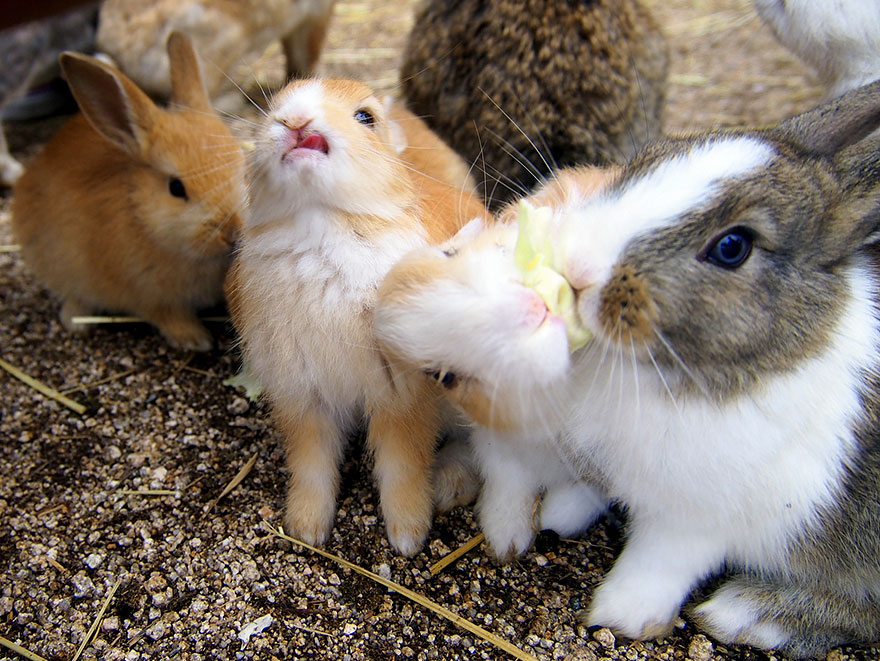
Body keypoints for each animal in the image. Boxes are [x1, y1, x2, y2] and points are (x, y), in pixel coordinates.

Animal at [11, 31, 246, 352]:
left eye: (242, 167)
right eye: (176, 188)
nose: (232, 230)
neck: (145, 220)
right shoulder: (145, 295)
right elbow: (167, 316)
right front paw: (195, 340)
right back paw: (75, 322)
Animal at [224, 76, 490, 556]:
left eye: (366, 117)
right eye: (272, 109)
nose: (294, 120)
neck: (320, 226)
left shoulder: (402, 397)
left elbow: (402, 466)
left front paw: (408, 538)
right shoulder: (303, 398)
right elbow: (312, 465)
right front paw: (306, 530)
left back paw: (448, 486)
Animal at [374, 78, 880, 658]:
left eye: (732, 247)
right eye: (445, 377)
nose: (539, 302)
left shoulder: (698, 512)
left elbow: (657, 559)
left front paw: (615, 615)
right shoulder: (513, 444)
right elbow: (511, 483)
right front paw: (512, 537)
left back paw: (743, 614)